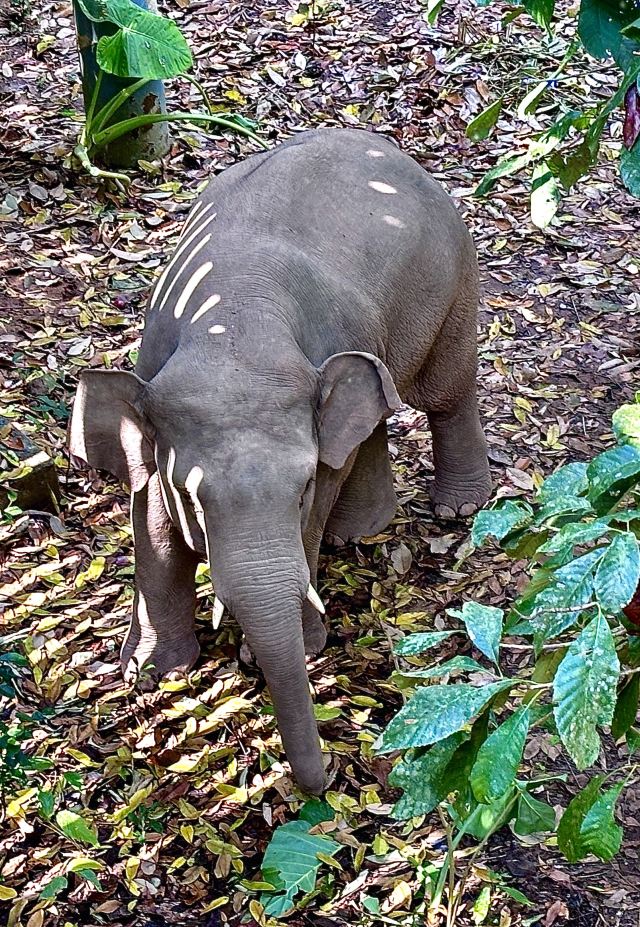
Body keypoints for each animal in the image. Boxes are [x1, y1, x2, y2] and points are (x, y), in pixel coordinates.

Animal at [69, 127, 491, 795]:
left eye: (300, 489)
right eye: (192, 496)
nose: (321, 785)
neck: (233, 331)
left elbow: (321, 494)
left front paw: (300, 643)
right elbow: (151, 522)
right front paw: (151, 672)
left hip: (454, 280)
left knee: (445, 391)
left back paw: (458, 507)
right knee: (371, 410)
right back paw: (361, 531)